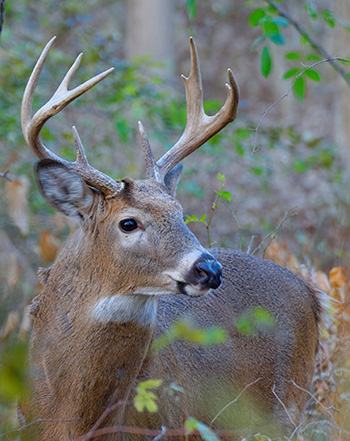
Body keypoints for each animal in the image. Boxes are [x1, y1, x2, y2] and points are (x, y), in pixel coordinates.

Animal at [17, 37, 322, 440]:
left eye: (180, 212)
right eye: (129, 223)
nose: (209, 269)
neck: (69, 418)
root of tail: (310, 292)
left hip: (288, 406)